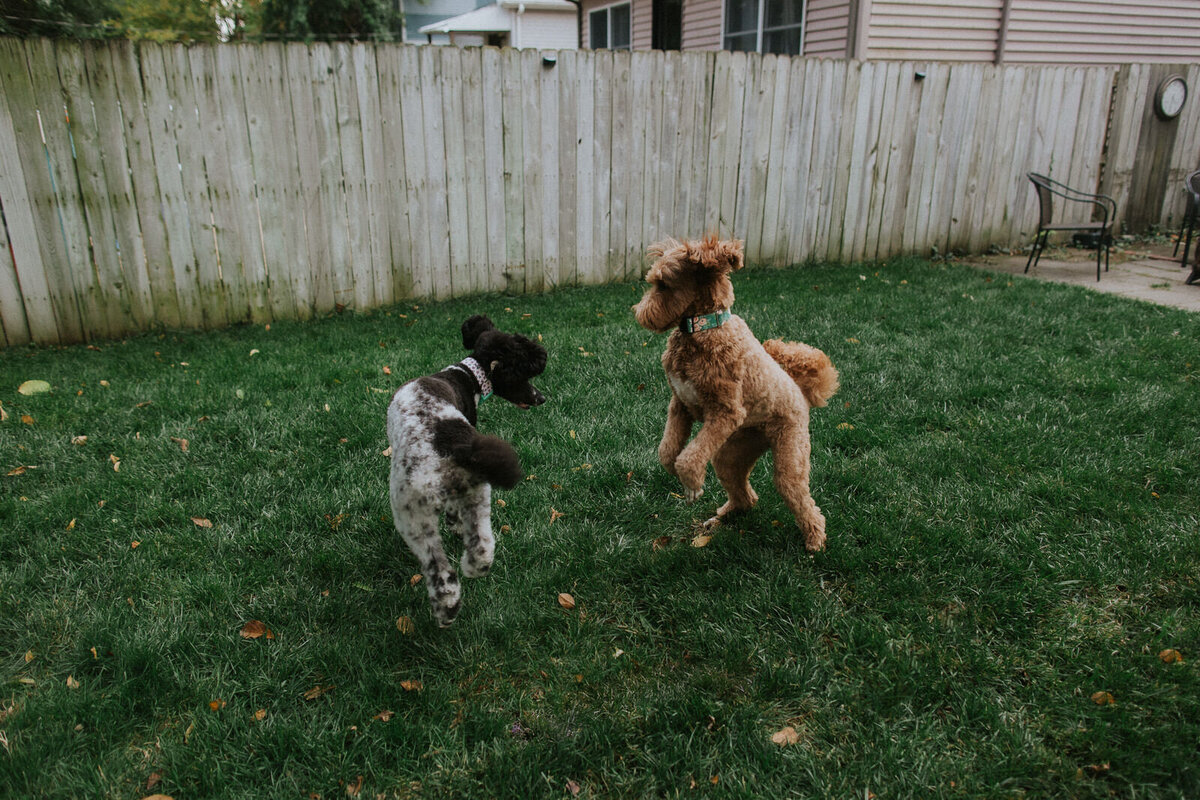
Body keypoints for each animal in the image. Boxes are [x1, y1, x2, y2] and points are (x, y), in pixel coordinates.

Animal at [388, 316, 549, 628]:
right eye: (522, 374)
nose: (541, 398)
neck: (464, 375)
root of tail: (446, 445)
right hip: (455, 500)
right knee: (471, 550)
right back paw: (460, 589)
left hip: (414, 515)